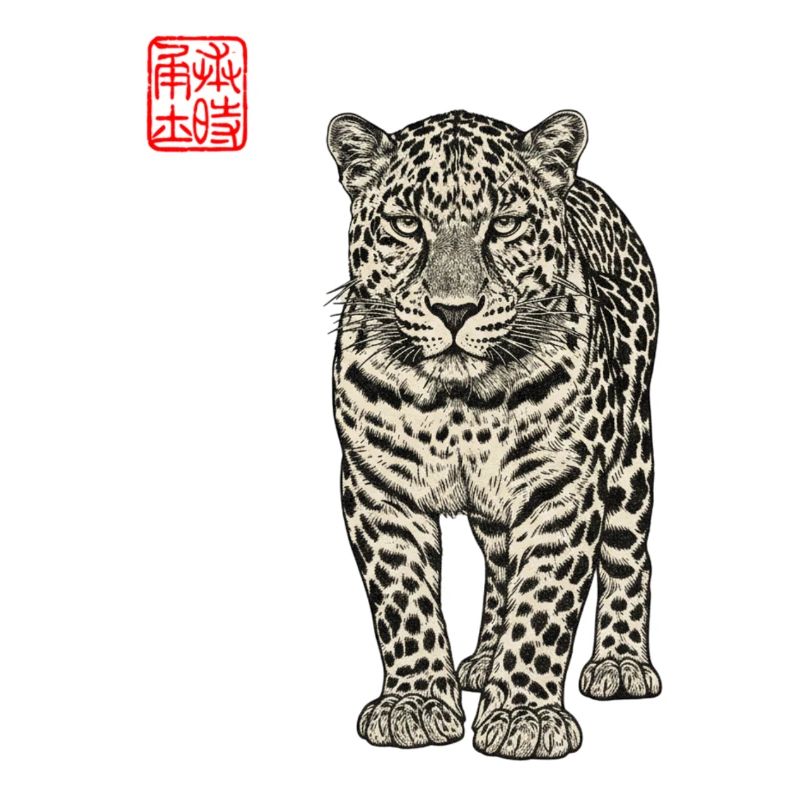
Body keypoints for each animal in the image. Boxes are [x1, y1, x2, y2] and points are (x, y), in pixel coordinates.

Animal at [326, 109, 661, 760]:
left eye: (504, 224)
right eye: (408, 224)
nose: (454, 310)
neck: (458, 404)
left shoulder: (561, 489)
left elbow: (544, 602)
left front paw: (524, 715)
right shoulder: (380, 490)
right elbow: (403, 599)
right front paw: (415, 703)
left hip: (631, 456)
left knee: (629, 556)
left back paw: (621, 663)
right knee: (501, 564)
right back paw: (483, 660)